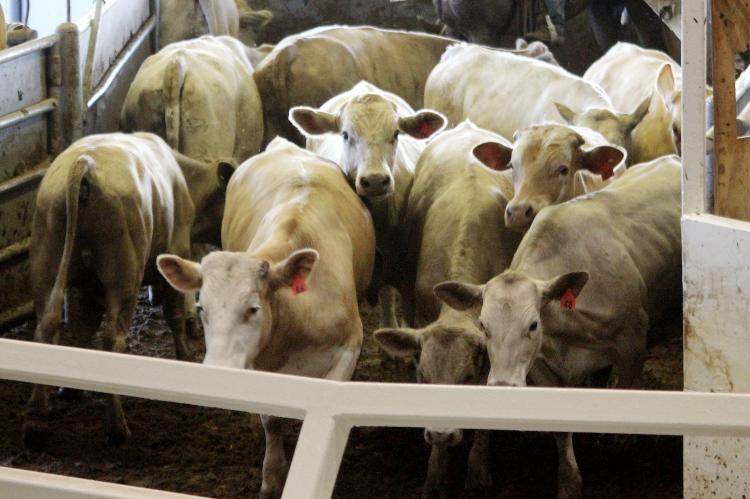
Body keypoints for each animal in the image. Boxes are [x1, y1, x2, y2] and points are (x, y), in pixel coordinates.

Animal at [23, 132, 235, 449]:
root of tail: (85, 164)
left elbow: (83, 327)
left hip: (46, 264)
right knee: (113, 339)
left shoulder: (87, 286)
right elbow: (174, 313)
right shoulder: (175, 250)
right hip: (123, 277)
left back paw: (37, 422)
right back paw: (116, 427)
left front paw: (71, 388)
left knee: (47, 326)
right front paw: (186, 354)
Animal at [157, 137, 375, 499]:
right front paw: (272, 477)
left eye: (252, 308)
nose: (217, 373)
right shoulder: (260, 365)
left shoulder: (347, 350)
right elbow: (272, 420)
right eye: (202, 309)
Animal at [434, 155, 682, 499]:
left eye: (533, 324)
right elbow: (561, 430)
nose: (501, 387)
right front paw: (569, 482)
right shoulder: (541, 366)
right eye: (483, 325)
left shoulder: (632, 343)